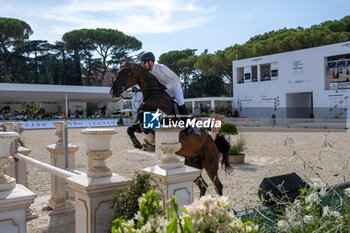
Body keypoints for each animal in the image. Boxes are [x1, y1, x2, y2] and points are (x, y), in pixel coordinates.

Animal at [110, 59, 232, 196]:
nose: (113, 92)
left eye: (125, 72)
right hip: (193, 164)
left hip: (210, 164)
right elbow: (130, 128)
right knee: (203, 186)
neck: (153, 95)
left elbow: (143, 119)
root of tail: (213, 141)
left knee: (218, 186)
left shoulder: (166, 121)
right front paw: (138, 144)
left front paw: (148, 139)